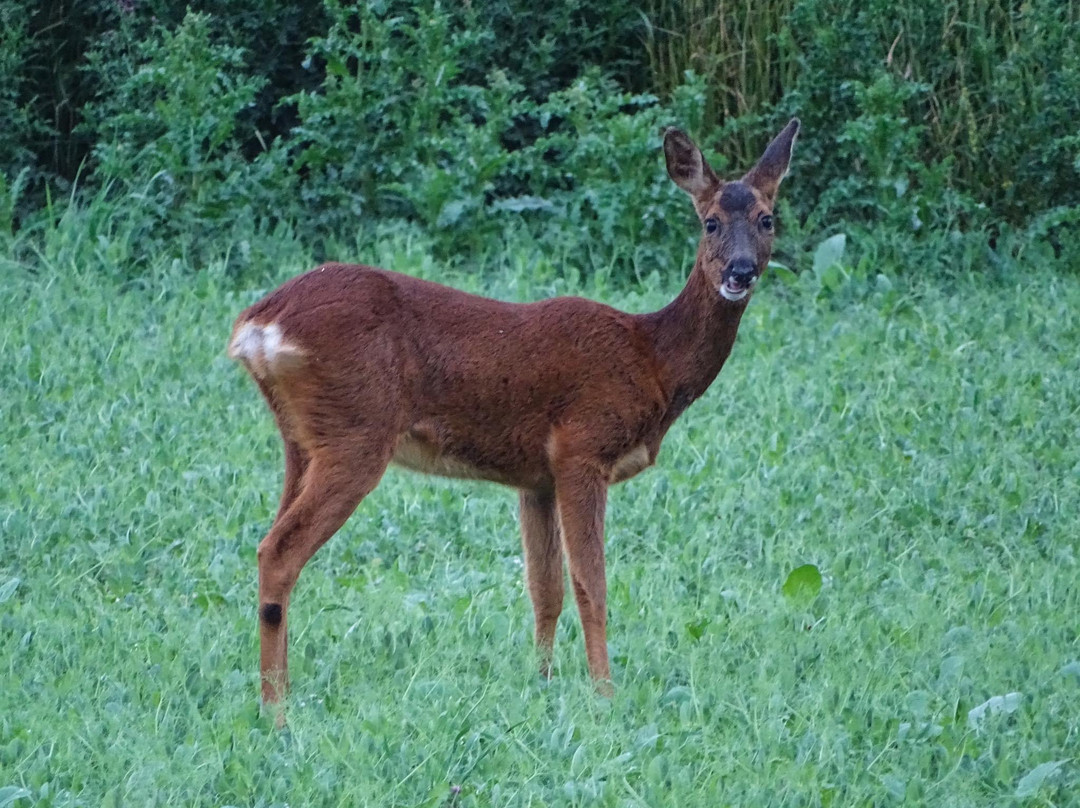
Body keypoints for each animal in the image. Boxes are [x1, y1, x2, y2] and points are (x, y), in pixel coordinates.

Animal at [227, 116, 799, 708]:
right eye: (710, 222)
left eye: (767, 219)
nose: (741, 271)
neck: (652, 359)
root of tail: (258, 325)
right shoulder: (581, 447)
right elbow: (591, 585)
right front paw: (604, 695)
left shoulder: (536, 478)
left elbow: (544, 590)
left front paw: (542, 684)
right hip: (357, 433)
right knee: (278, 552)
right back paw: (277, 711)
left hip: (301, 439)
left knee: (271, 547)